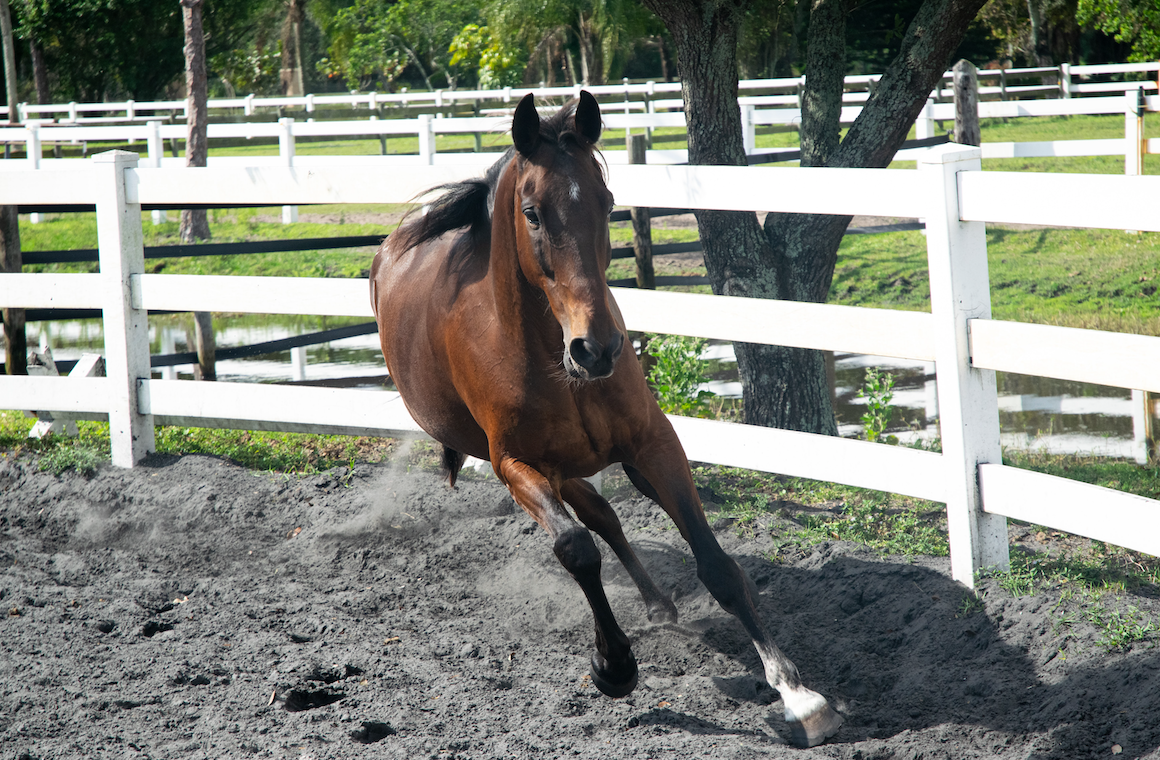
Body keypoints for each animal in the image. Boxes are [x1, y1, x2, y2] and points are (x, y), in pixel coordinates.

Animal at [369, 91, 843, 748]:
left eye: (608, 201)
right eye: (533, 213)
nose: (596, 349)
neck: (550, 356)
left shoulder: (654, 444)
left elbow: (717, 565)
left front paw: (799, 696)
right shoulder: (515, 464)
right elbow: (576, 548)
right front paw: (614, 665)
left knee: (608, 516)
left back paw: (659, 605)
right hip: (550, 469)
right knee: (593, 521)